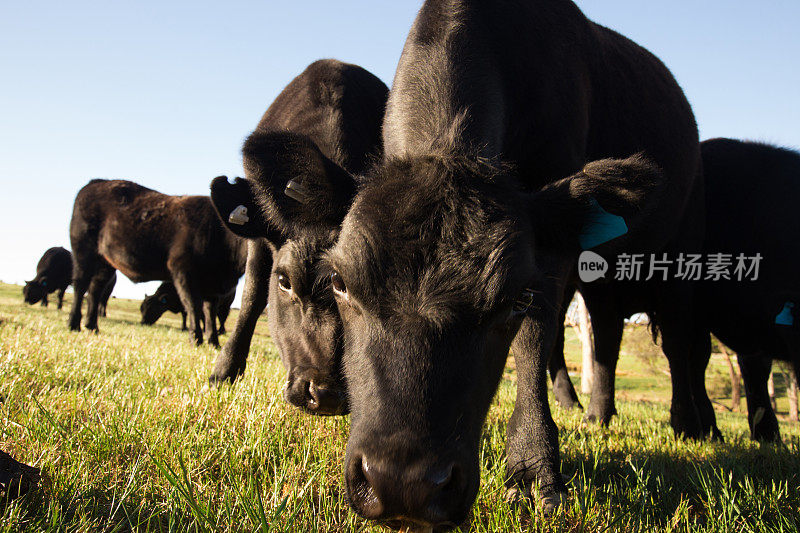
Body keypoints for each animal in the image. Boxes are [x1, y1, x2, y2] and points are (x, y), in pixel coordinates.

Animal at [67, 179, 245, 344]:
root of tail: (95, 183)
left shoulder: (213, 285)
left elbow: (209, 312)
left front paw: (213, 341)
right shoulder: (183, 270)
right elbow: (193, 305)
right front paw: (196, 339)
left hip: (106, 262)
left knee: (95, 289)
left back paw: (92, 326)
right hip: (83, 250)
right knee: (81, 285)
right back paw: (73, 324)